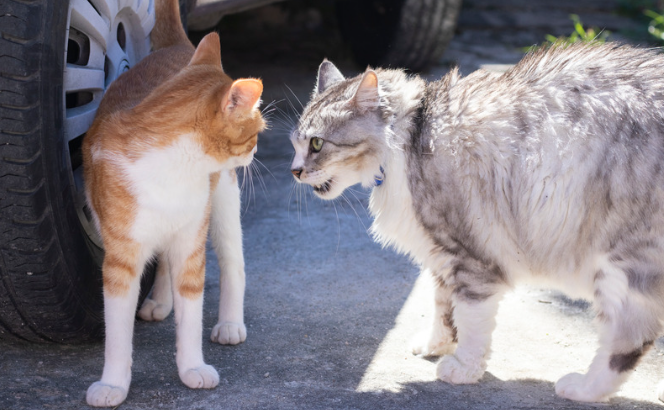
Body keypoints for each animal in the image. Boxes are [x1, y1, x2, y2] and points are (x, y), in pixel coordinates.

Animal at [79, 0, 264, 406]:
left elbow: (191, 316)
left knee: (234, 262)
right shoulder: (121, 258)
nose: (257, 151)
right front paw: (113, 384)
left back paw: (230, 322)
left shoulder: (191, 244)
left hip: (223, 199)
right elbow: (118, 332)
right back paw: (161, 301)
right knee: (163, 258)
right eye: (256, 132)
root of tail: (178, 46)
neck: (174, 168)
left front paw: (192, 366)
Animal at [292, 43, 664, 402]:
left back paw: (582, 388)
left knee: (628, 343)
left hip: (621, 268)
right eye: (294, 144)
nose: (294, 171)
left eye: (317, 144)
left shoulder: (470, 259)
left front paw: (463, 369)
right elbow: (443, 308)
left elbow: (471, 322)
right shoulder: (441, 255)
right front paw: (435, 345)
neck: (410, 136)